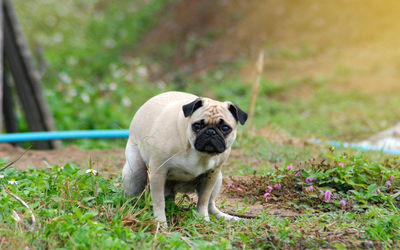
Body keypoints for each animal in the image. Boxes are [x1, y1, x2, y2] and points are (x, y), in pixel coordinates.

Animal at [122, 92, 247, 227]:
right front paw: (161, 222)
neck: (198, 153)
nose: (211, 132)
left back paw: (226, 217)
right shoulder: (158, 172)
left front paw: (203, 219)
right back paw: (133, 209)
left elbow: (203, 200)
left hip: (218, 178)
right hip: (134, 171)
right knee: (134, 194)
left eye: (225, 128)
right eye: (197, 125)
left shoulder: (211, 174)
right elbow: (159, 202)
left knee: (210, 205)